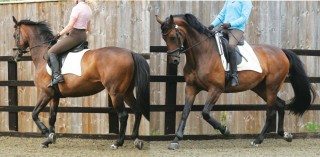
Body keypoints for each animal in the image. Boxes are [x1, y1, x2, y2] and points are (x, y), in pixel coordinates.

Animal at [12, 16, 150, 150]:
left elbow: (34, 114)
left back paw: (117, 143)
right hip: (126, 92)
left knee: (123, 115)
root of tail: (130, 52)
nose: (15, 56)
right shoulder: (55, 96)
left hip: (115, 93)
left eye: (15, 35)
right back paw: (136, 140)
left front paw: (47, 134)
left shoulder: (46, 93)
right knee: (137, 110)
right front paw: (49, 139)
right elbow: (52, 117)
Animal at [156, 13, 316, 150]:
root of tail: (281, 51)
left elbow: (205, 113)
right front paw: (176, 140)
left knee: (271, 112)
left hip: (272, 86)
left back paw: (257, 140)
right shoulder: (191, 87)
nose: (174, 60)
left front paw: (225, 130)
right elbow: (185, 112)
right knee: (281, 105)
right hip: (260, 88)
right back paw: (285, 135)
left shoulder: (216, 89)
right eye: (164, 38)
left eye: (173, 37)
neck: (202, 54)